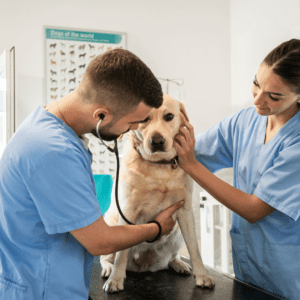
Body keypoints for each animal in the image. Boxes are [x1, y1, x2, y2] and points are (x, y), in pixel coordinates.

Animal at [100, 94, 213, 292]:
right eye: (144, 119)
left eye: (169, 117)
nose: (157, 141)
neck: (159, 166)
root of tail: (143, 266)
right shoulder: (128, 210)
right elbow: (121, 254)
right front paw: (115, 279)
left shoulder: (185, 210)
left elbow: (194, 249)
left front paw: (202, 275)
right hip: (111, 231)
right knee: (106, 258)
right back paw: (108, 268)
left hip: (177, 234)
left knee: (173, 256)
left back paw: (178, 264)